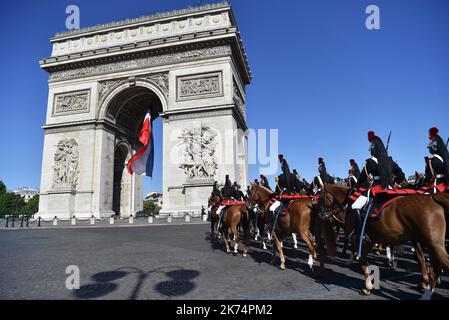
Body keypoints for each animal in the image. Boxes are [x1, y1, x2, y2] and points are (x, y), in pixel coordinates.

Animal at [318, 184, 448, 298]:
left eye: (320, 198)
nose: (321, 214)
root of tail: (432, 198)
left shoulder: (358, 237)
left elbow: (361, 259)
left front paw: (368, 286)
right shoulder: (370, 240)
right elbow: (363, 259)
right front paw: (368, 286)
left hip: (434, 244)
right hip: (430, 244)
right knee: (433, 266)